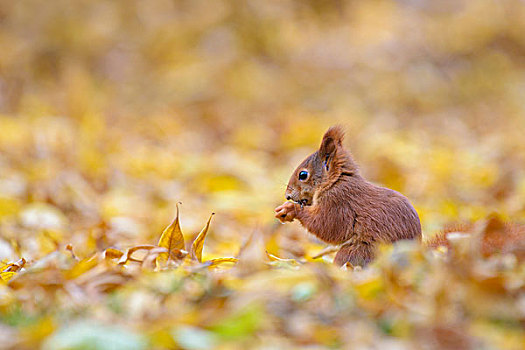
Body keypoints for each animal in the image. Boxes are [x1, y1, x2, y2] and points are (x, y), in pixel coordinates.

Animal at [274, 126, 422, 266]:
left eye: (303, 175)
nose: (287, 196)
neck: (335, 182)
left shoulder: (338, 202)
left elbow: (327, 226)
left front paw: (290, 209)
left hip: (355, 254)